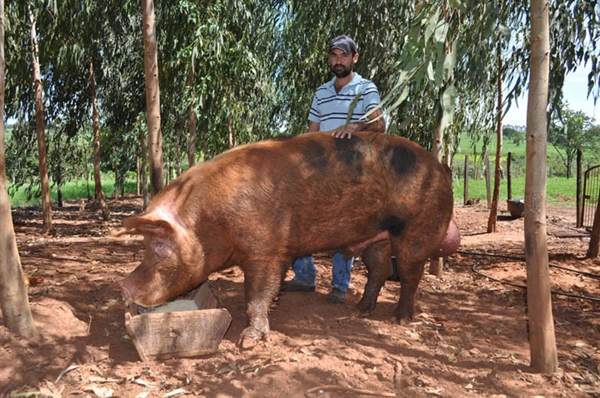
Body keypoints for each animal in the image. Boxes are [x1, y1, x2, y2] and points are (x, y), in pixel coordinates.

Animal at [110, 131, 452, 348]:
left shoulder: (268, 250)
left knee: (410, 273)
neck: (211, 221)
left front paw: (248, 343)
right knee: (378, 268)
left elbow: (258, 294)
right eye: (144, 245)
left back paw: (400, 319)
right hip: (374, 236)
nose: (123, 286)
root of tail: (441, 167)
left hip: (417, 228)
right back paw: (360, 311)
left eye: (159, 245)